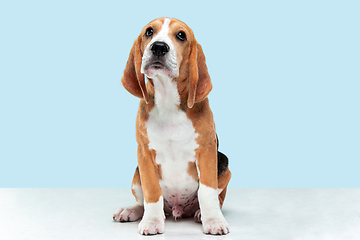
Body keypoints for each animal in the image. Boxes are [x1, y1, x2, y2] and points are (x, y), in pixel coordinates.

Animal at [112, 17, 231, 236]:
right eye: (149, 32)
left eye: (181, 35)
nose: (159, 47)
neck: (168, 100)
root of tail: (177, 209)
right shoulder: (144, 153)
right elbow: (152, 192)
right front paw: (151, 221)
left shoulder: (207, 150)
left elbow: (207, 191)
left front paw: (213, 220)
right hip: (136, 176)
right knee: (144, 202)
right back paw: (130, 211)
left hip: (224, 165)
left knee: (216, 198)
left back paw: (201, 214)